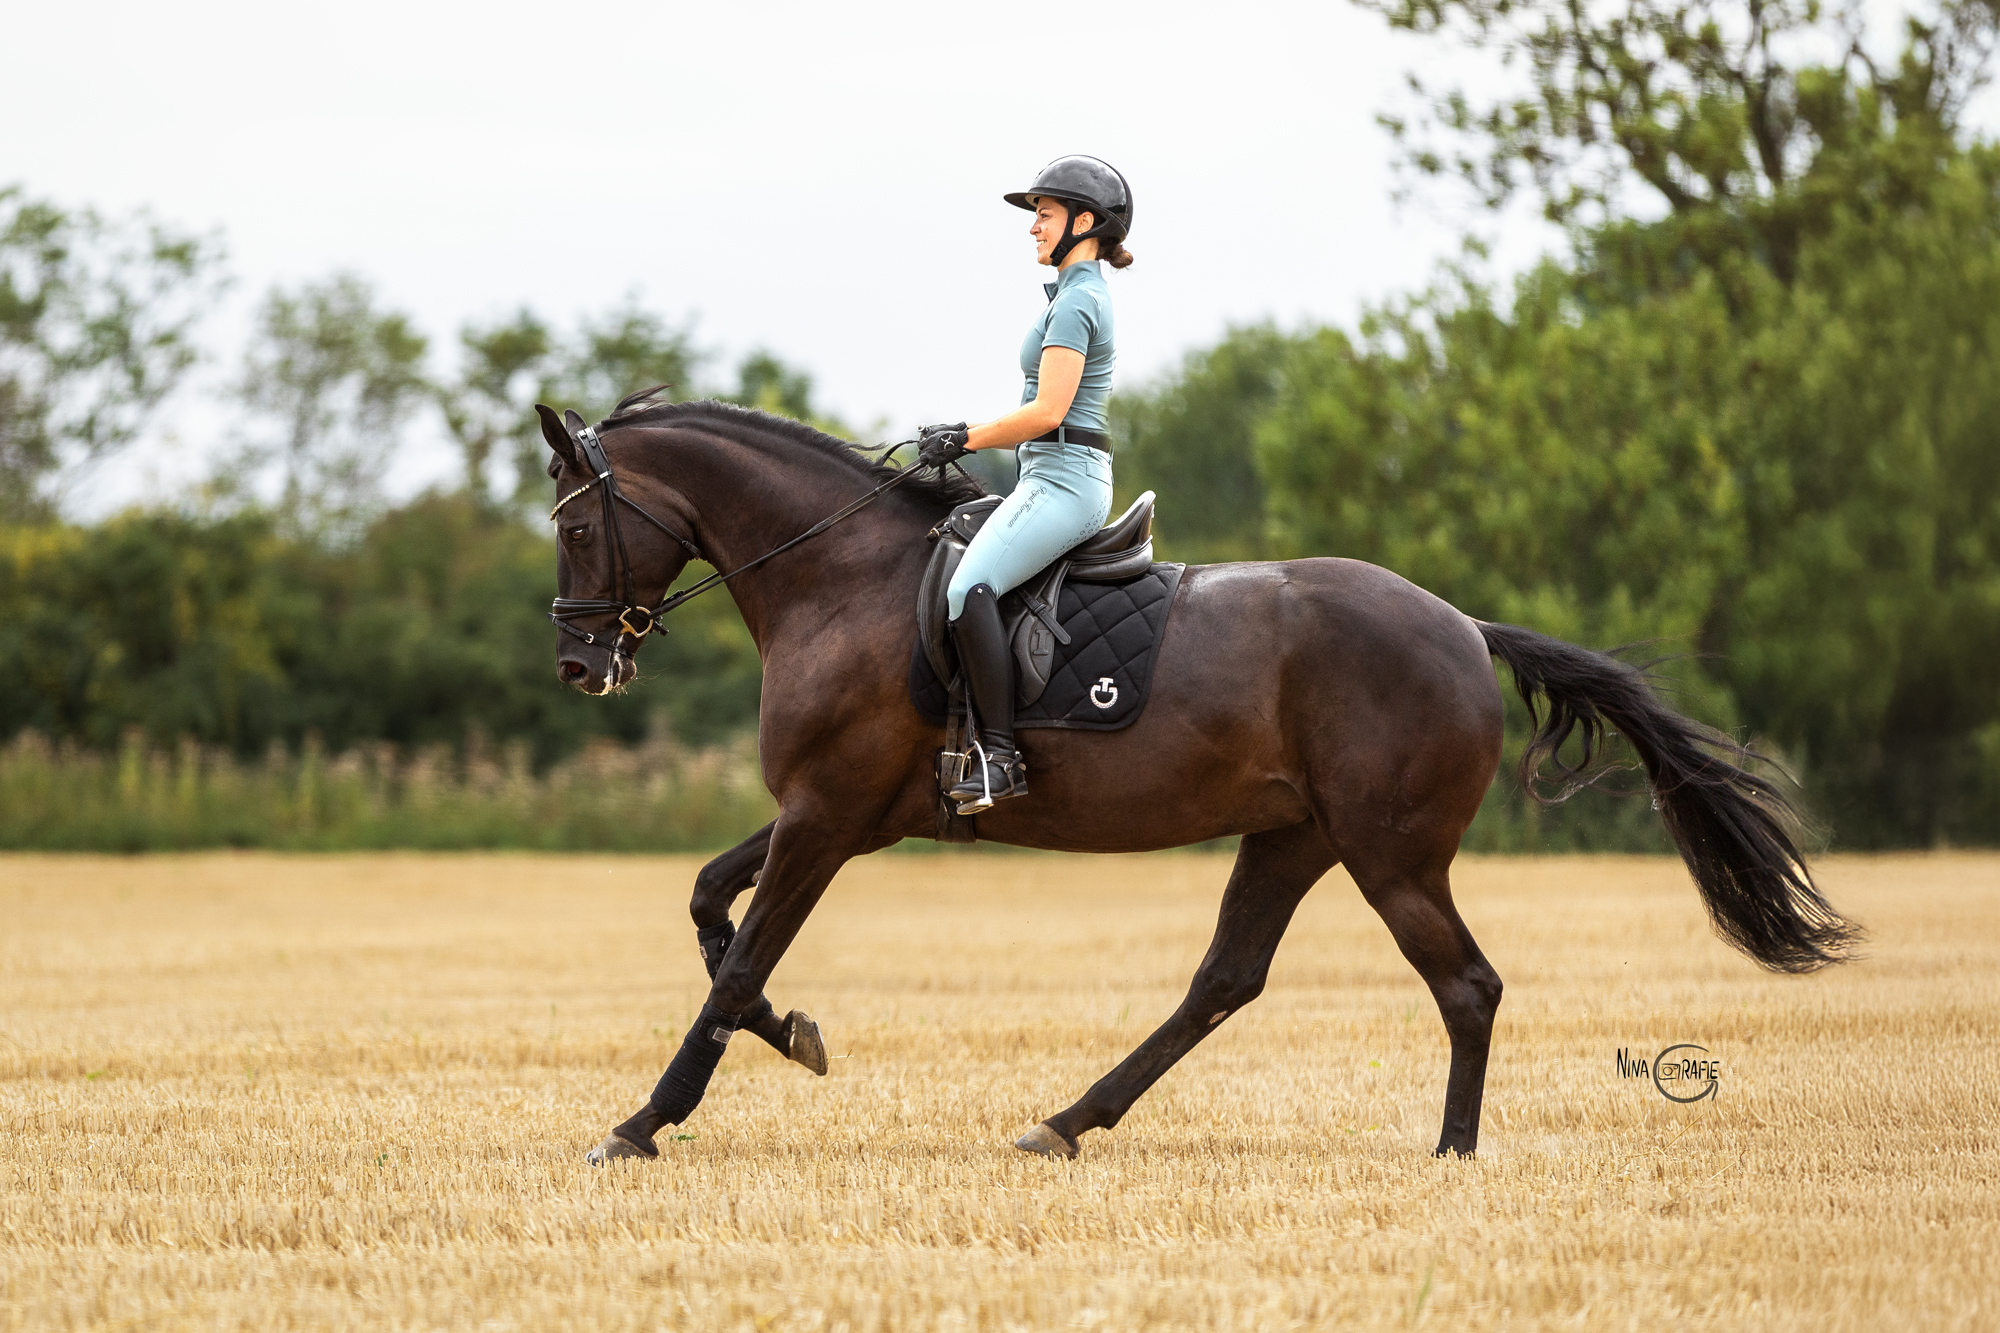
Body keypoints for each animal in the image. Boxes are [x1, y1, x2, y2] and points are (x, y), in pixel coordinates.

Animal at [538, 391, 1859, 1164]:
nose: (576, 662)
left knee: (1465, 985)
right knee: (1225, 979)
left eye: (572, 526)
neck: (842, 576)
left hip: (1387, 854)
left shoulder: (826, 816)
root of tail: (1461, 625)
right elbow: (710, 909)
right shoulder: (836, 813)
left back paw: (1449, 1152)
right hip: (1294, 836)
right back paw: (1066, 1122)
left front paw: (641, 1124)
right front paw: (792, 1034)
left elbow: (736, 959)